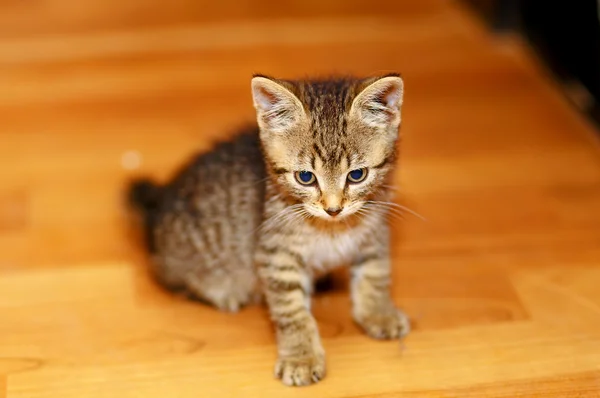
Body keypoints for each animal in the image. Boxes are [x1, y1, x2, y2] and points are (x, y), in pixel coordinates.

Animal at [126, 73, 408, 388]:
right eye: (305, 177)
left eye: (357, 175)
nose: (333, 209)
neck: (330, 228)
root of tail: (162, 201)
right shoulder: (276, 254)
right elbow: (292, 310)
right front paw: (301, 357)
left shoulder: (375, 232)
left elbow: (375, 274)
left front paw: (379, 313)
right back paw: (223, 292)